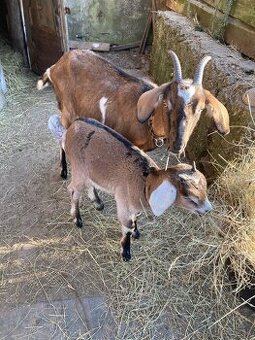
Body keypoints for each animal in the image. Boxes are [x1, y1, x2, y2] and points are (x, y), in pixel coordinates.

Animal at [37, 49, 229, 178]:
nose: (177, 145)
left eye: (201, 109)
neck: (149, 121)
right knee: (62, 135)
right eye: (167, 102)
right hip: (67, 111)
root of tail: (56, 65)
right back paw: (64, 171)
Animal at [57, 116, 211, 260]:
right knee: (74, 190)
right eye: (189, 197)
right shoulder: (124, 203)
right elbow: (128, 226)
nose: (208, 209)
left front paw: (136, 233)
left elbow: (136, 217)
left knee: (89, 184)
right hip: (78, 168)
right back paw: (77, 219)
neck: (146, 184)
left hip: (89, 170)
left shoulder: (135, 204)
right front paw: (126, 253)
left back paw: (98, 203)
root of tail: (74, 124)